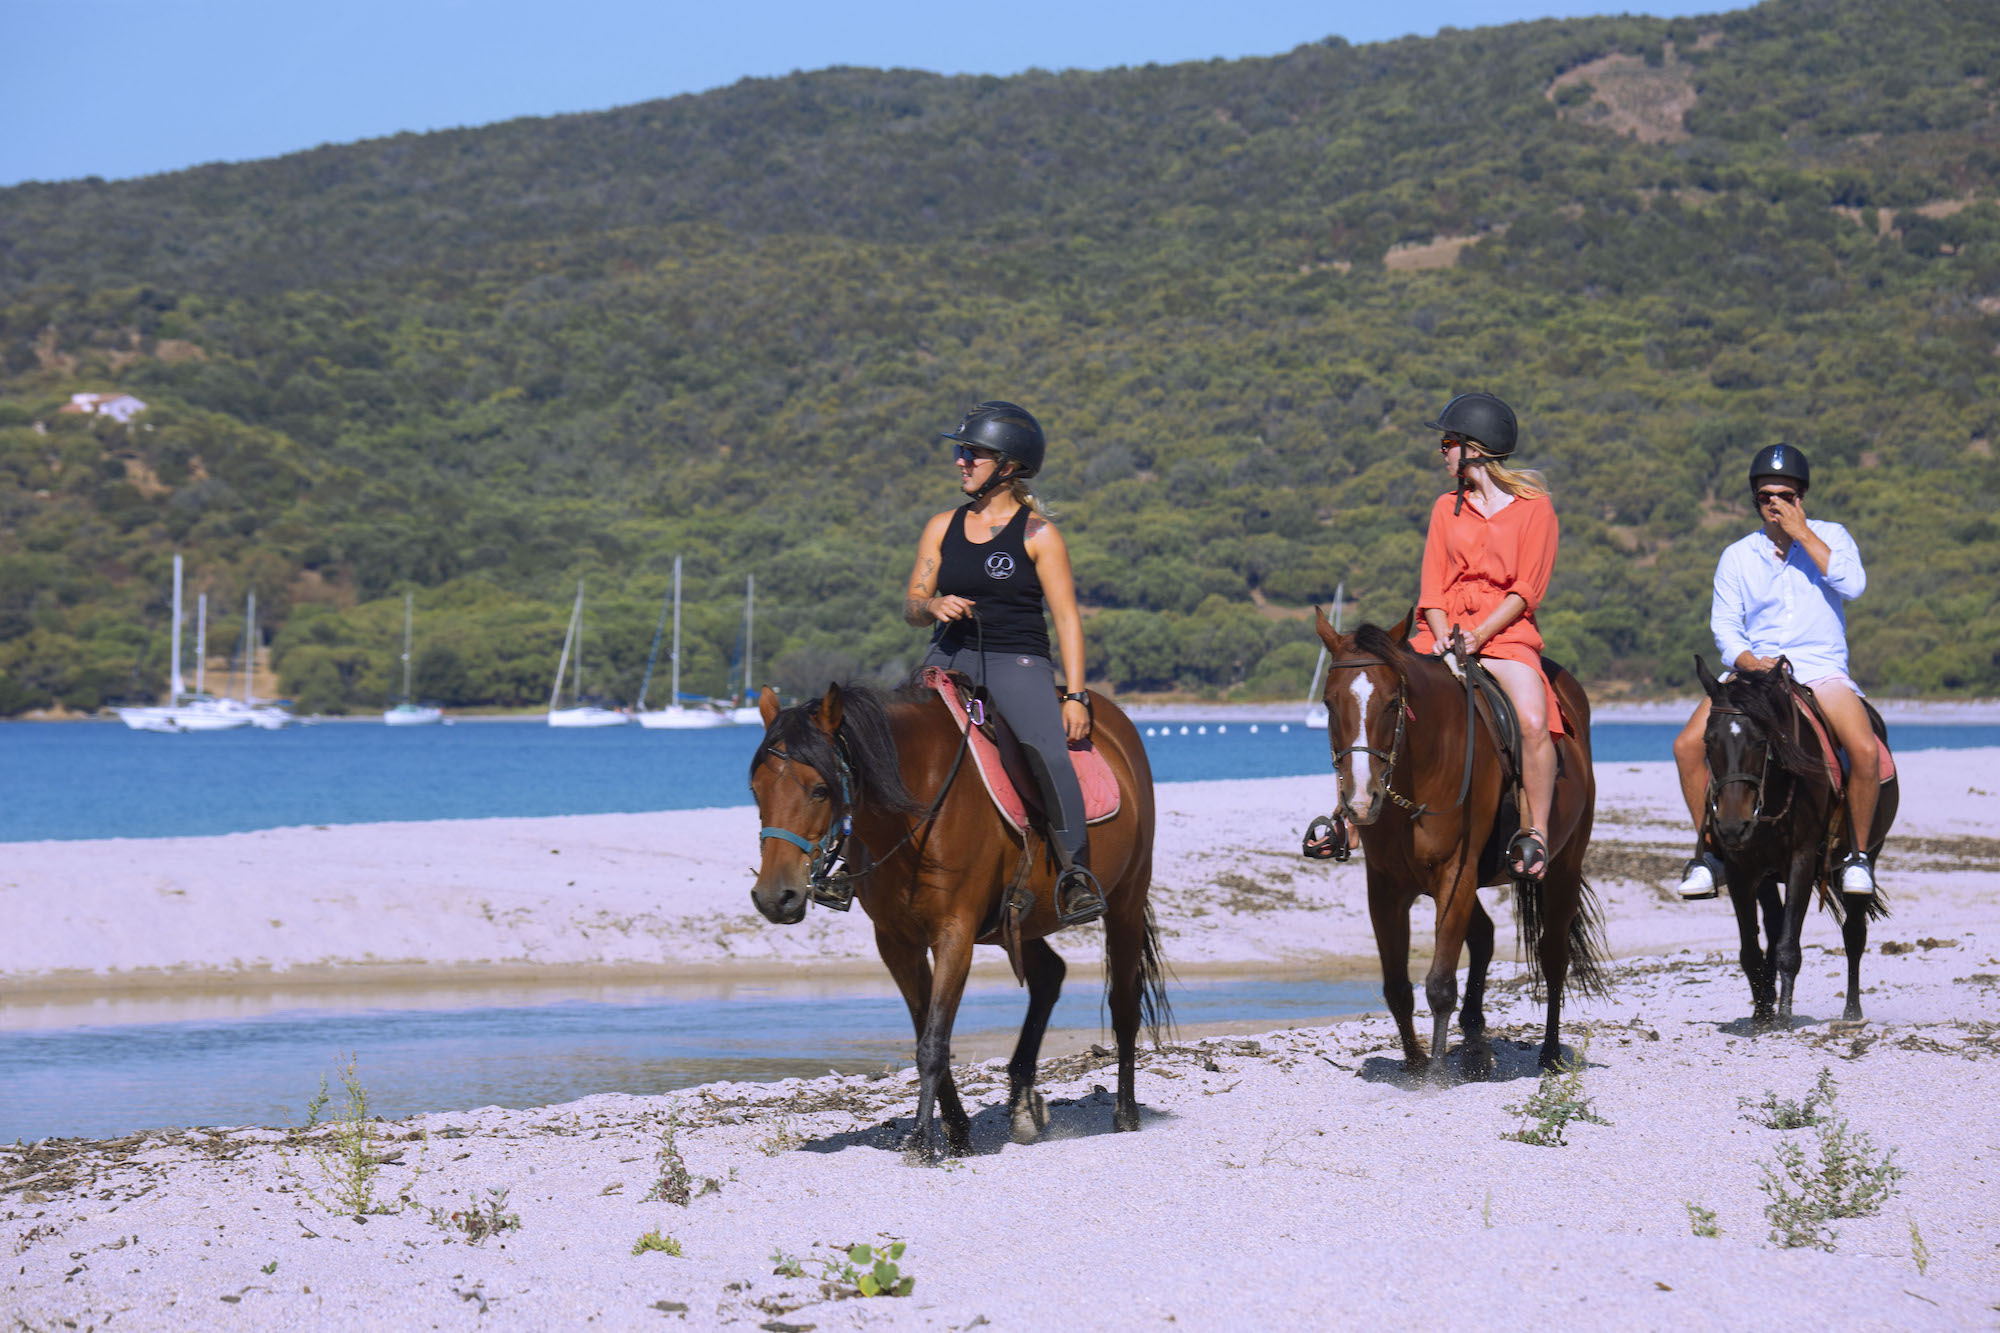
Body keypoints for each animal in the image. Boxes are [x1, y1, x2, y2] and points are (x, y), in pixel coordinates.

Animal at [748, 680, 1168, 1160]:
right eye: (756, 790)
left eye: (820, 790)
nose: (774, 897)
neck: (916, 809)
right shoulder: (896, 942)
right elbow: (926, 1030)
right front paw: (958, 1131)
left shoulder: (954, 934)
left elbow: (933, 1041)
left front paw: (922, 1141)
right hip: (1017, 925)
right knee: (1049, 976)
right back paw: (1022, 1103)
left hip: (1126, 903)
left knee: (1123, 1004)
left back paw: (1125, 1113)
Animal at [1312, 608, 1608, 1072]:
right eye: (1328, 702)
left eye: (1393, 702)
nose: (1360, 801)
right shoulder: (1386, 887)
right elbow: (1397, 986)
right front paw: (1416, 1065)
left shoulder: (1455, 874)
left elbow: (1439, 984)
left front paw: (1434, 1075)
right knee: (1484, 937)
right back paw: (1473, 1037)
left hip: (1563, 869)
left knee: (1553, 955)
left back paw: (1549, 1053)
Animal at [1696, 660, 1896, 1020]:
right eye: (1708, 741)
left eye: (1761, 741)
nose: (1732, 826)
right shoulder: (1741, 868)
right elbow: (1752, 949)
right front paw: (1762, 1015)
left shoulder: (1801, 861)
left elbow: (1789, 947)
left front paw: (1785, 1016)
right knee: (1774, 927)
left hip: (1869, 851)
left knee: (1854, 932)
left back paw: (1852, 1011)